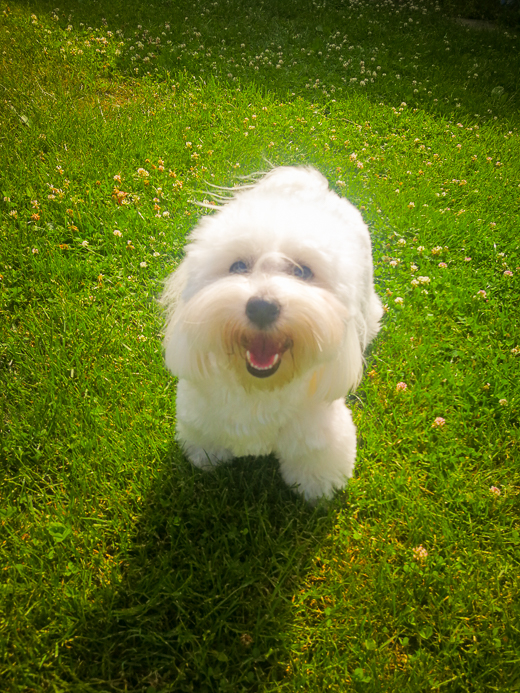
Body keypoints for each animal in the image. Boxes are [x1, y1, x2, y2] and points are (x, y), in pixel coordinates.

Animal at [160, 165, 384, 500]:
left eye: (302, 272)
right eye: (238, 266)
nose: (262, 307)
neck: (259, 389)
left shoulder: (319, 428)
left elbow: (316, 460)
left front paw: (316, 488)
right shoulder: (199, 412)